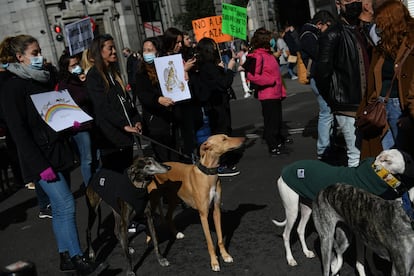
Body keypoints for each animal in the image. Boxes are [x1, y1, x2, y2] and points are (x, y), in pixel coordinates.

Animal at [270, 149, 410, 268]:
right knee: (286, 234)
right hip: (292, 209)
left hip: (307, 208)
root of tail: (284, 172)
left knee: (300, 229)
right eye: (406, 159)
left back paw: (306, 252)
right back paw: (290, 259)